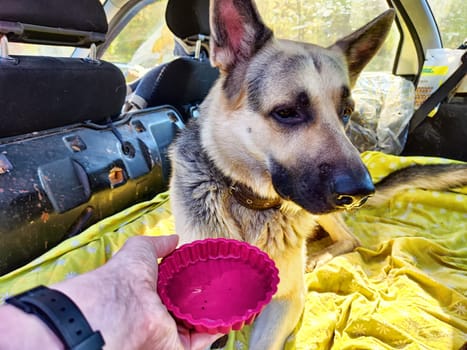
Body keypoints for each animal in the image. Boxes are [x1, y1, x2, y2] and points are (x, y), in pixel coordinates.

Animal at [168, 0, 467, 348]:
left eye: (346, 113)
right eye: (287, 112)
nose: (361, 193)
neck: (247, 199)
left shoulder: (289, 298)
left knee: (350, 239)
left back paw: (317, 256)